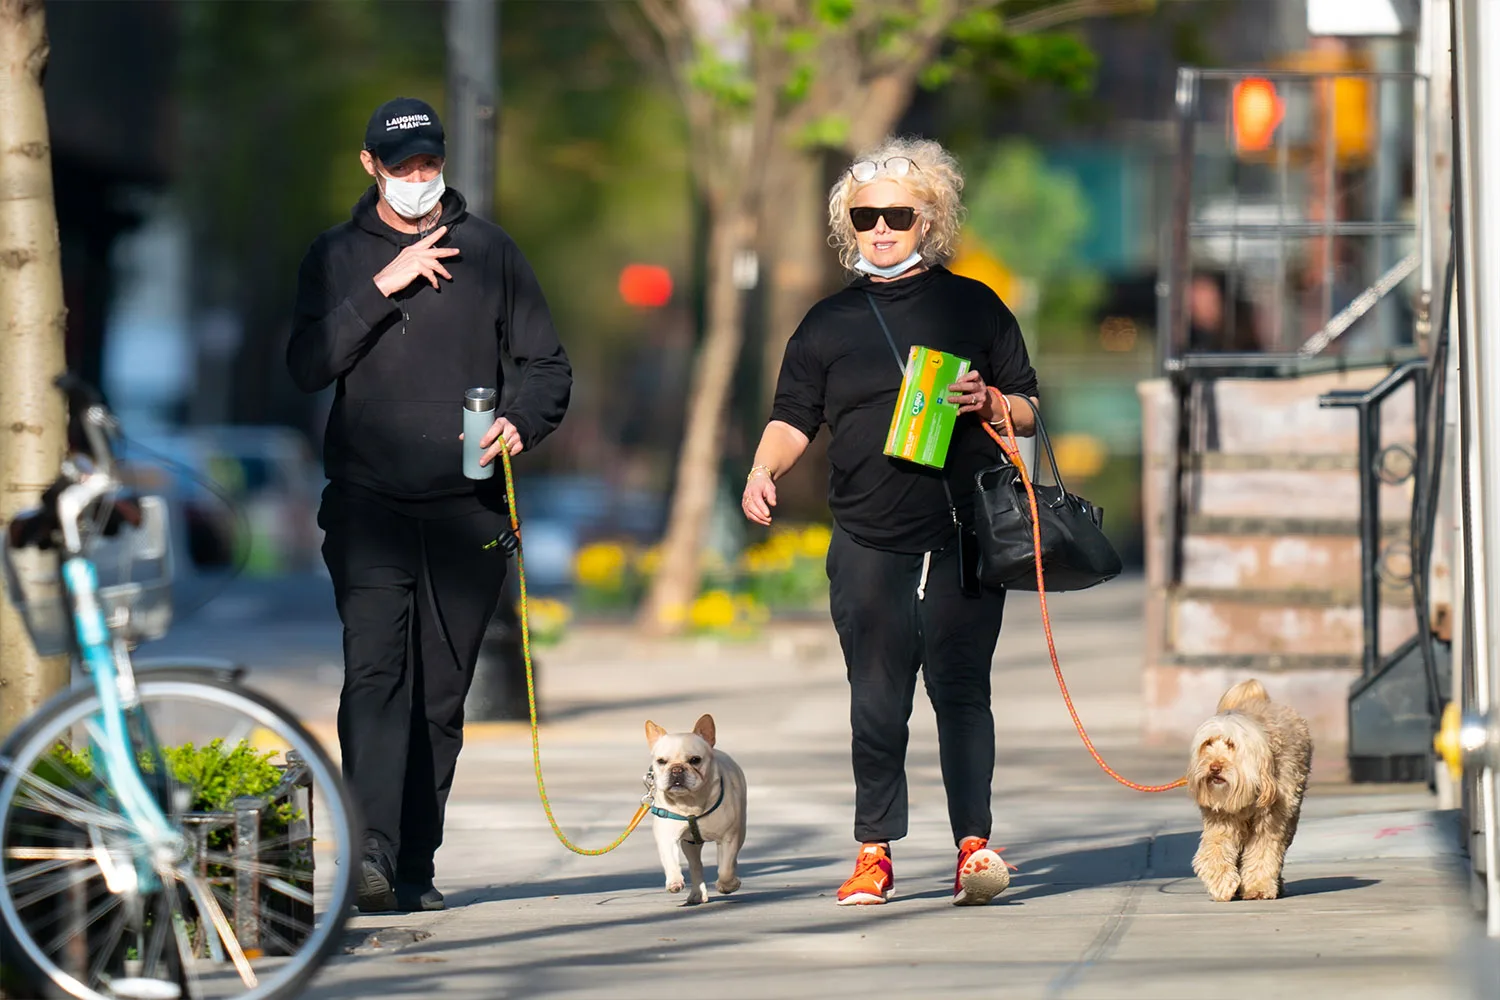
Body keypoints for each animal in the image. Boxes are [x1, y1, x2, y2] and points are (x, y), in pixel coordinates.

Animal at [1182, 680, 1314, 899]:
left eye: (1231, 744)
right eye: (1208, 743)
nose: (1214, 767)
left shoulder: (1271, 820)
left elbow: (1263, 852)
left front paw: (1259, 887)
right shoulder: (1221, 818)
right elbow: (1215, 849)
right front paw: (1222, 883)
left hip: (1291, 814)